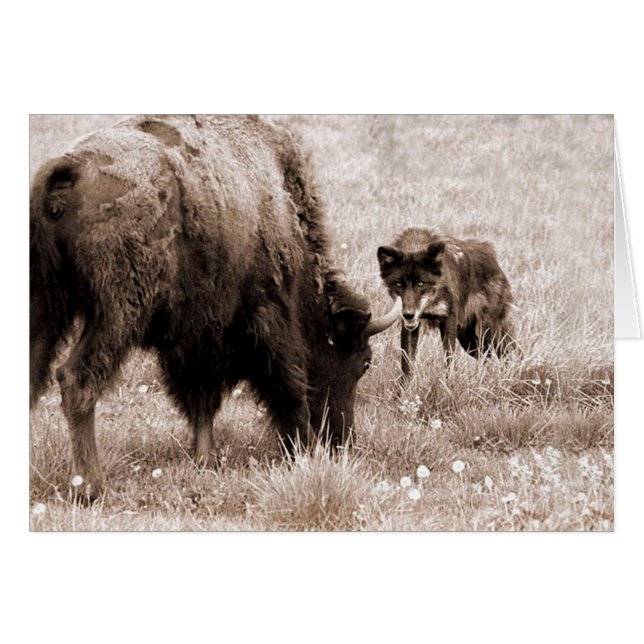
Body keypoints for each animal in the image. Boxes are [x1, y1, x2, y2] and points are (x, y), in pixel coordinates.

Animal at [30, 115, 400, 500]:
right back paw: (89, 485)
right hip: (116, 313)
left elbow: (200, 397)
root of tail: (70, 166)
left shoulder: (198, 335)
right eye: (363, 362)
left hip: (42, 305)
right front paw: (306, 449)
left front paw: (204, 457)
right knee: (77, 378)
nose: (341, 441)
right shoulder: (266, 317)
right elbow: (288, 384)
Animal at [377, 226, 517, 382]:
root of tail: (493, 257)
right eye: (399, 284)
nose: (408, 314)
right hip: (468, 340)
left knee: (499, 354)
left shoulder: (448, 320)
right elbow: (406, 364)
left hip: (484, 334)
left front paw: (449, 384)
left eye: (420, 284)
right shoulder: (410, 327)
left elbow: (450, 359)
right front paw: (404, 389)